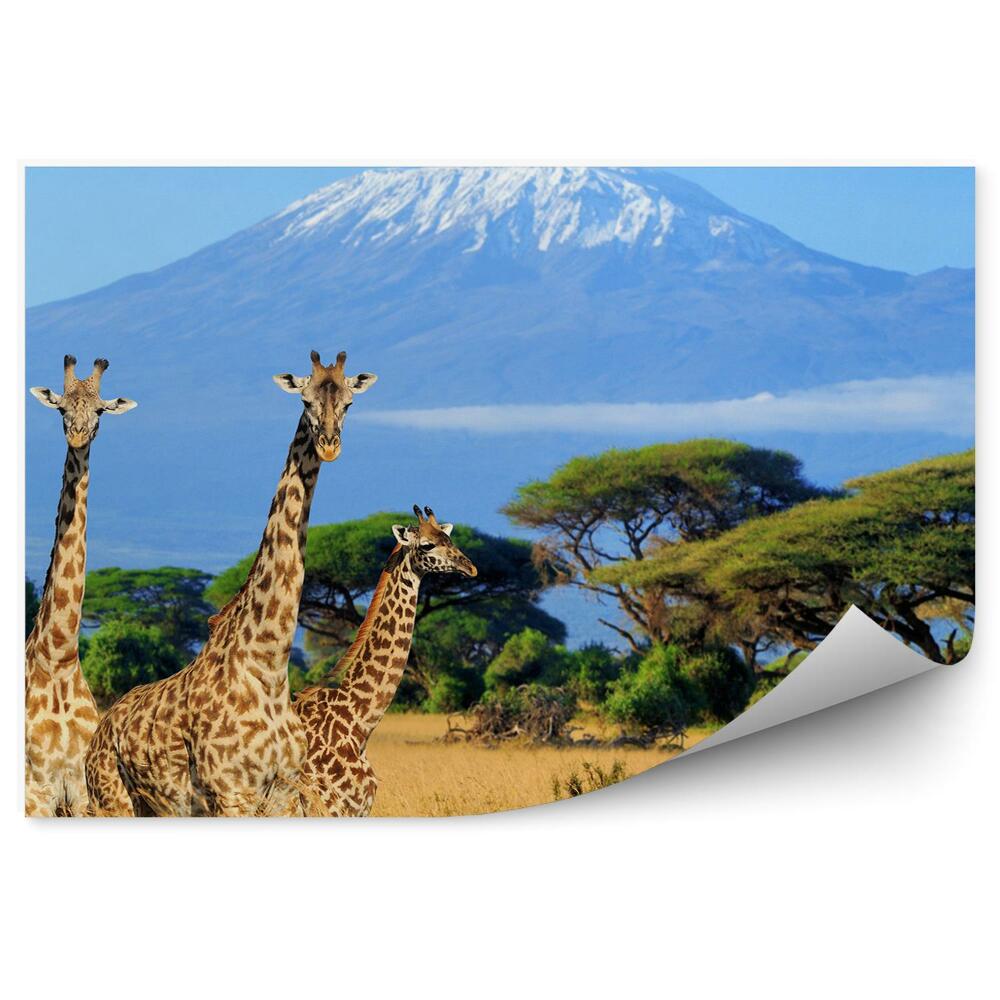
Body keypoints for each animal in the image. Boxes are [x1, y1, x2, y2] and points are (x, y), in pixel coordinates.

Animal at [85, 350, 377, 817]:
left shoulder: (282, 795)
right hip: (111, 799)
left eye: (349, 403)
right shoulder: (231, 792)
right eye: (305, 401)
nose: (330, 445)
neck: (268, 667)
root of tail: (103, 723)